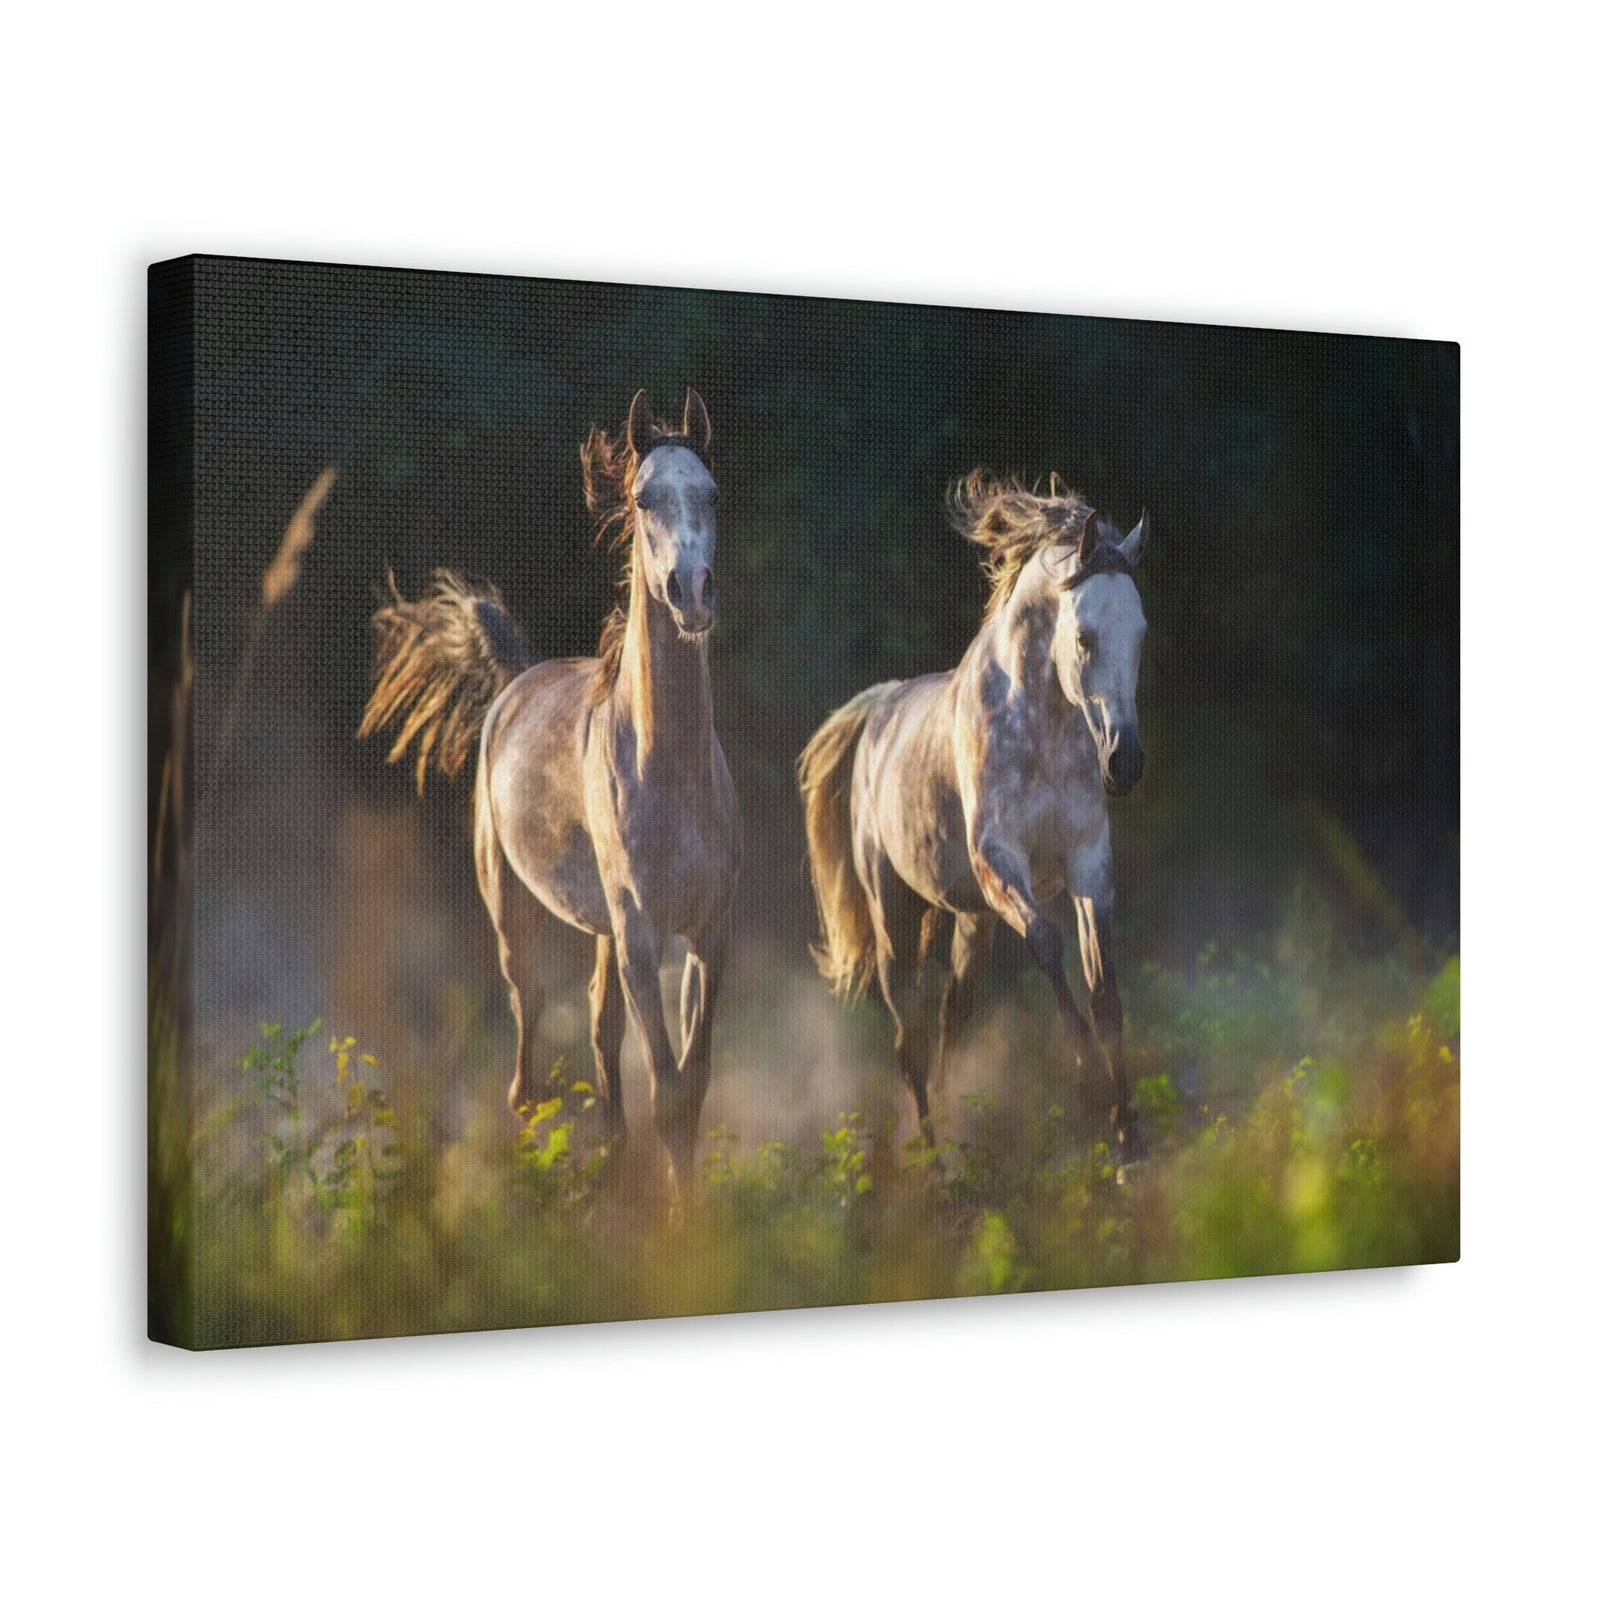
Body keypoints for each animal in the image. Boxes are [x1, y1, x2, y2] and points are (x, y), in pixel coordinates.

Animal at [359, 390, 742, 1195]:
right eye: (643, 498)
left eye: (714, 493)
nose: (693, 593)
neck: (670, 771)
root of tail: (518, 680)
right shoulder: (640, 936)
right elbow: (668, 1090)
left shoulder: (708, 934)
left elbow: (692, 1084)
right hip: (512, 905)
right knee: (528, 1041)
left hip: (601, 929)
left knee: (598, 1026)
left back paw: (607, 1159)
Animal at [798, 472, 1150, 1159]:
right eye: (1084, 636)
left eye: (1142, 631)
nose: (1125, 762)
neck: (1041, 726)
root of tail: (880, 710)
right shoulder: (999, 863)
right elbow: (1049, 946)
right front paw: (1090, 1088)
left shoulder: (1089, 866)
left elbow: (1106, 991)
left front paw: (1127, 1142)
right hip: (894, 919)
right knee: (909, 1040)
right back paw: (935, 1162)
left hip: (972, 924)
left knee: (948, 1023)